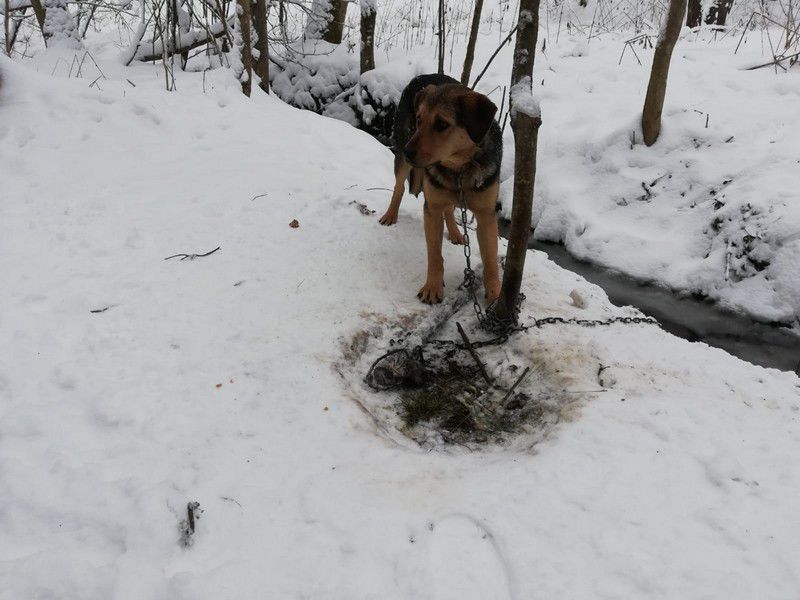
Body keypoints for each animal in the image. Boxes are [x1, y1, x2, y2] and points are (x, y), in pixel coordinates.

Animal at [380, 74, 504, 304]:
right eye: (419, 120)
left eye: (442, 124)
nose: (408, 152)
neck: (458, 168)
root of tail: (422, 76)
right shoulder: (432, 209)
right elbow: (434, 255)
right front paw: (432, 288)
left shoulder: (486, 215)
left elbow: (491, 259)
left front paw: (495, 295)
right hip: (402, 158)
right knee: (398, 187)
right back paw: (390, 215)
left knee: (449, 207)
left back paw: (455, 233)